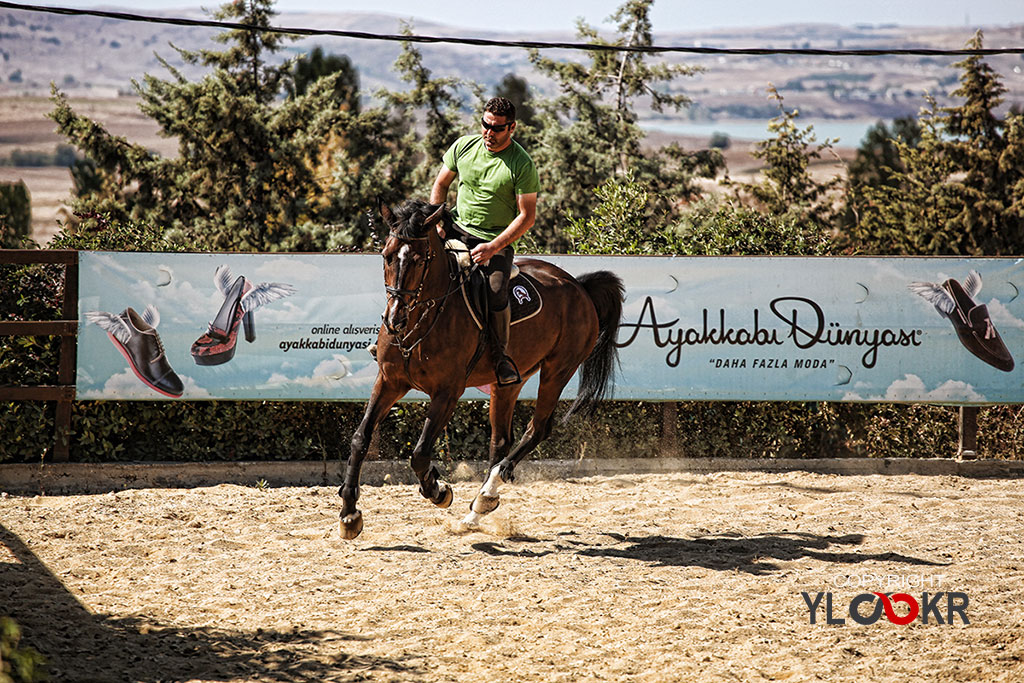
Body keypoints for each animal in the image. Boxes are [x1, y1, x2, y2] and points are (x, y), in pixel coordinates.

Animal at [337, 198, 622, 540]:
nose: (395, 320)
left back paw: (486, 495)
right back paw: (477, 511)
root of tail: (579, 286)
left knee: (537, 428)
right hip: (510, 382)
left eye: (419, 261)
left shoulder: (447, 392)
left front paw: (439, 490)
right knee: (501, 439)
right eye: (387, 256)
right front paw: (349, 513)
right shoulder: (389, 381)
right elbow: (360, 438)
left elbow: (420, 453)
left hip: (558, 370)